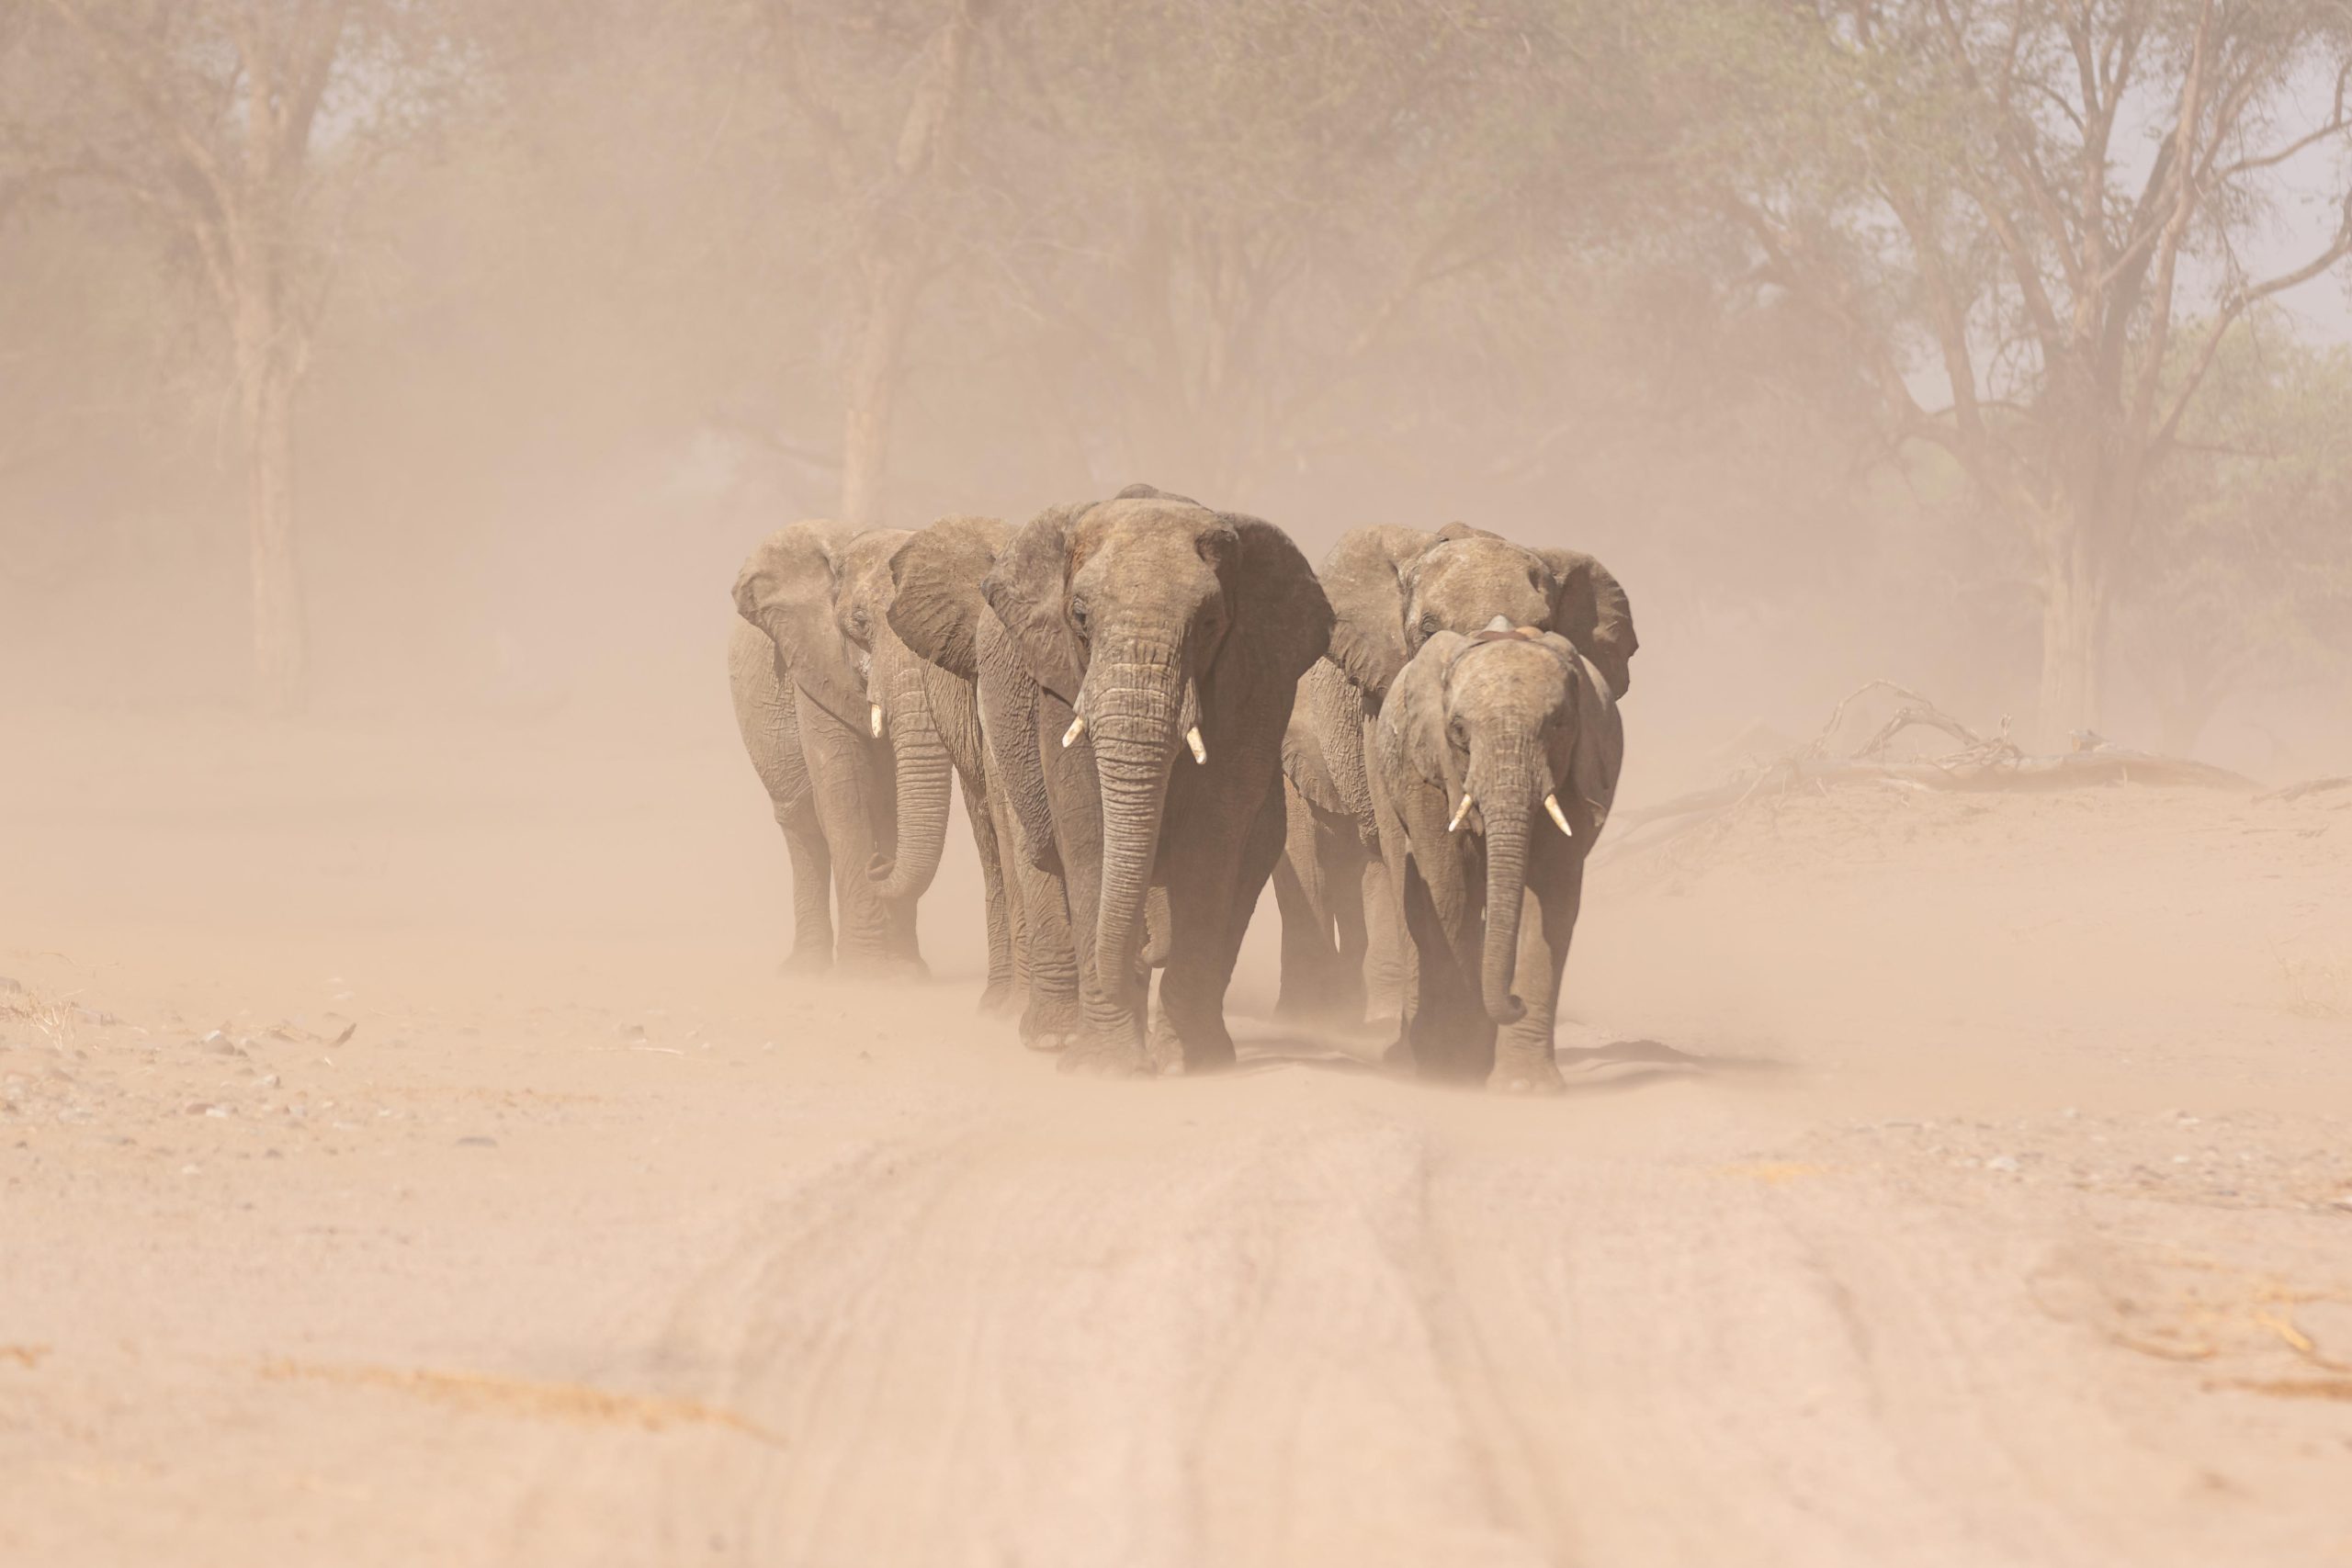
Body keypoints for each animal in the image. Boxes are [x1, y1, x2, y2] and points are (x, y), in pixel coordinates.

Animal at [732, 520, 1014, 987]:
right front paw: (862, 973)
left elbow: (891, 803)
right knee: (801, 817)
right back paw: (804, 971)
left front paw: (899, 974)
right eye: (859, 623)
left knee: (883, 809)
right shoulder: (815, 659)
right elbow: (845, 791)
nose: (879, 865)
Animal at [980, 484, 1332, 1075]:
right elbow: (1087, 828)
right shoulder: (1061, 680)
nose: (1144, 951)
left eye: (1211, 624)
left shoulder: (1251, 683)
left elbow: (1214, 834)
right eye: (1079, 617)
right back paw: (1058, 1037)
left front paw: (1183, 1064)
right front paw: (1106, 1067)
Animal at [1371, 619, 1624, 1091]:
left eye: (1559, 724)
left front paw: (1527, 1089)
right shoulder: (1426, 771)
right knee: (1403, 879)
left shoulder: (1575, 774)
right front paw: (1451, 1067)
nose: (1515, 998)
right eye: (1458, 730)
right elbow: (1449, 885)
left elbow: (1551, 898)